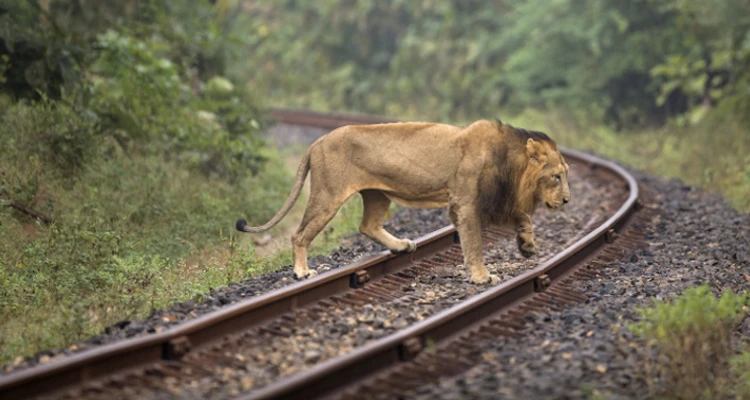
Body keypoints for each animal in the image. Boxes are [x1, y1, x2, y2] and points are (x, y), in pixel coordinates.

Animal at [238, 119, 572, 284]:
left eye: (566, 175)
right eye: (557, 176)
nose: (568, 200)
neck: (511, 165)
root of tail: (316, 142)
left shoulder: (500, 199)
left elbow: (523, 216)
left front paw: (527, 245)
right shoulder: (464, 203)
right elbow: (474, 243)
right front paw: (482, 277)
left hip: (376, 194)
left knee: (368, 225)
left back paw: (402, 245)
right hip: (328, 195)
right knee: (299, 235)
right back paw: (302, 272)